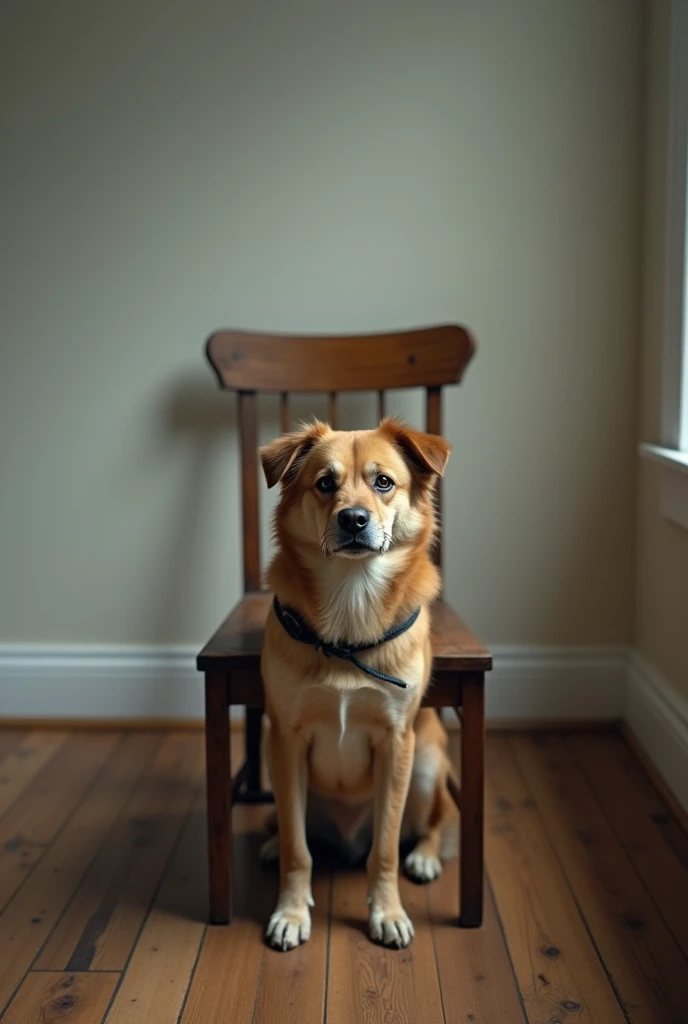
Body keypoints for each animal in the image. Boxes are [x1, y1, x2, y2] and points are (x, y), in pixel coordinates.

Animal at [258, 415, 456, 950]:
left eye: (383, 482)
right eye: (325, 484)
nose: (353, 520)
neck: (352, 603)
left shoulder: (396, 741)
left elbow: (384, 849)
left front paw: (387, 912)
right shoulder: (286, 738)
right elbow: (298, 849)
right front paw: (290, 911)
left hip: (425, 766)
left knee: (434, 822)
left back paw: (425, 857)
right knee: (294, 829)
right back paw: (269, 841)